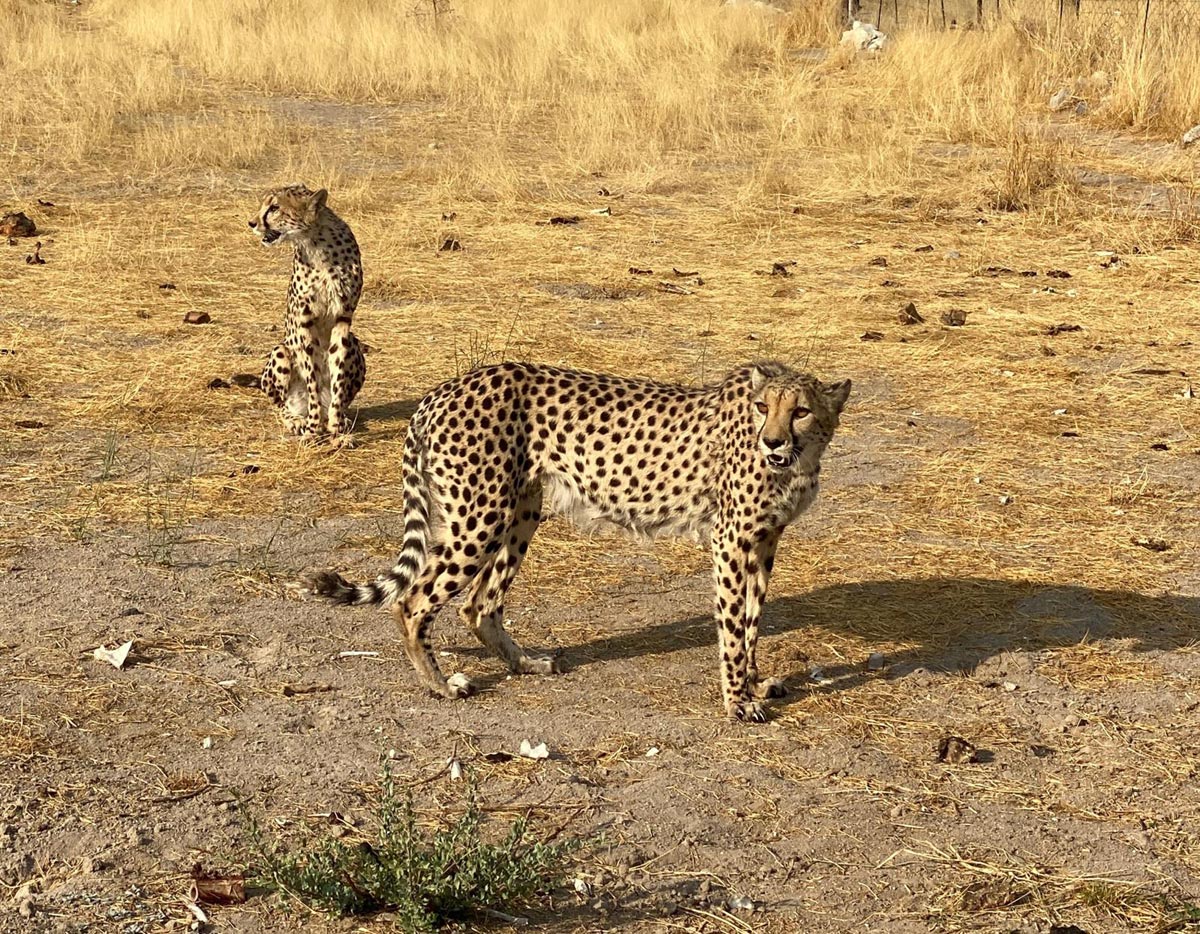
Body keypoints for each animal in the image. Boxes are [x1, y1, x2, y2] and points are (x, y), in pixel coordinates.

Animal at [248, 184, 366, 440]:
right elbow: (312, 379)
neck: (316, 243)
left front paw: (336, 428)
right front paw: (313, 427)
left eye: (274, 208)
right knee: (282, 405)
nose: (251, 223)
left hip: (355, 344)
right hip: (281, 351)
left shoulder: (343, 318)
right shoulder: (304, 322)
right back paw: (296, 420)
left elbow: (337, 373)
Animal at [301, 360, 850, 722]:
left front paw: (757, 682)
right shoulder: (731, 539)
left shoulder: (765, 539)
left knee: (479, 604)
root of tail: (443, 389)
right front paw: (738, 700)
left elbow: (753, 620)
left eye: (801, 411)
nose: (772, 440)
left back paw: (525, 663)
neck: (795, 461)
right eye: (762, 407)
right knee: (413, 601)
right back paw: (440, 684)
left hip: (520, 509)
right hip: (479, 516)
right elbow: (735, 628)